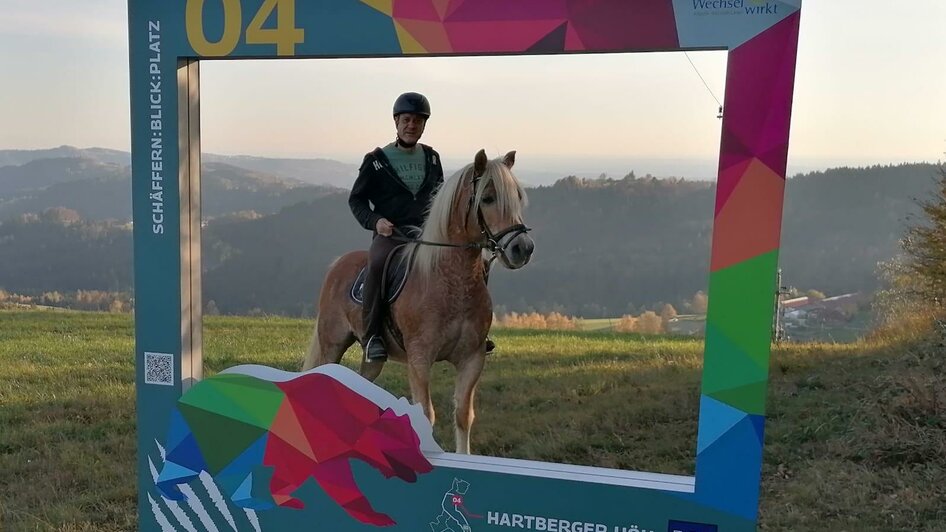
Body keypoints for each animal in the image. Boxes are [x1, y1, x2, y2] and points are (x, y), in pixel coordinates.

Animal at [300, 150, 532, 454]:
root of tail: (338, 264)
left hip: (371, 358)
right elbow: (426, 415)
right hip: (332, 343)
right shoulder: (420, 358)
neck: (450, 281)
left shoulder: (473, 358)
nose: (523, 248)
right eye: (488, 198)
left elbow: (463, 415)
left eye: (517, 196)